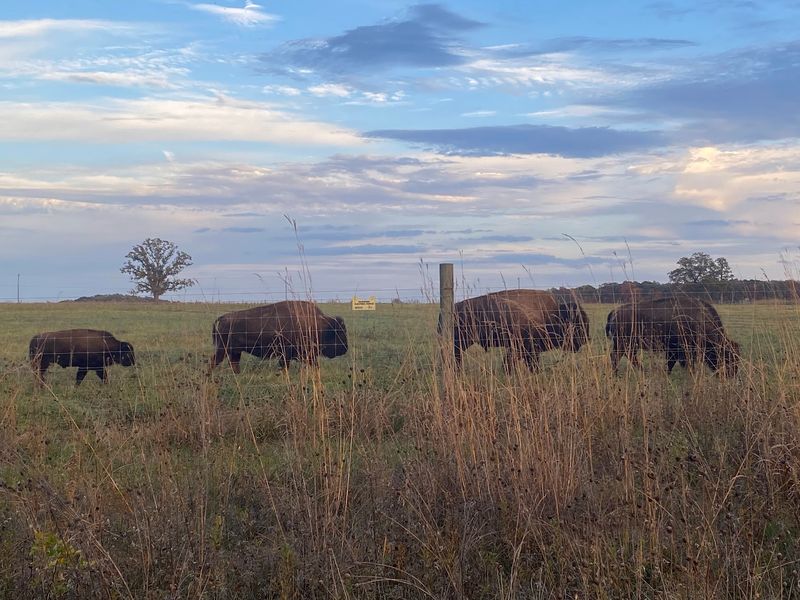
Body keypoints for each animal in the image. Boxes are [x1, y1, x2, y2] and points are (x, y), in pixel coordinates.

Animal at [209, 300, 348, 373]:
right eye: (338, 333)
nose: (344, 349)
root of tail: (223, 318)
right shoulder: (286, 354)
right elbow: (285, 366)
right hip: (223, 349)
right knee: (215, 361)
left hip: (235, 351)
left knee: (233, 363)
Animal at [443, 289, 590, 371]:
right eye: (578, 325)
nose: (585, 340)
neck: (552, 314)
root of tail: (453, 308)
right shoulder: (523, 349)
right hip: (460, 342)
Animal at [605, 296, 740, 377]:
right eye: (728, 356)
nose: (731, 374)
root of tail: (615, 312)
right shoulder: (680, 349)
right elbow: (678, 362)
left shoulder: (675, 350)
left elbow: (672, 362)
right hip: (625, 343)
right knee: (619, 356)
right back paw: (620, 373)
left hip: (626, 344)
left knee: (624, 356)